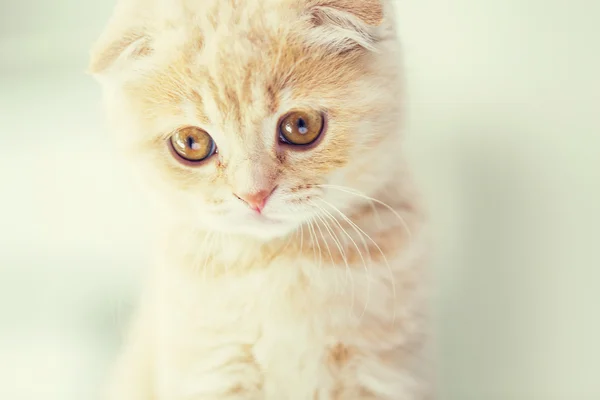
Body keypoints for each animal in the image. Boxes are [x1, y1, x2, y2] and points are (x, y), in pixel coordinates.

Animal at [89, 0, 428, 400]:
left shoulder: (383, 370)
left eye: (301, 126)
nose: (254, 195)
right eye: (192, 143)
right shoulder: (210, 368)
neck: (280, 263)